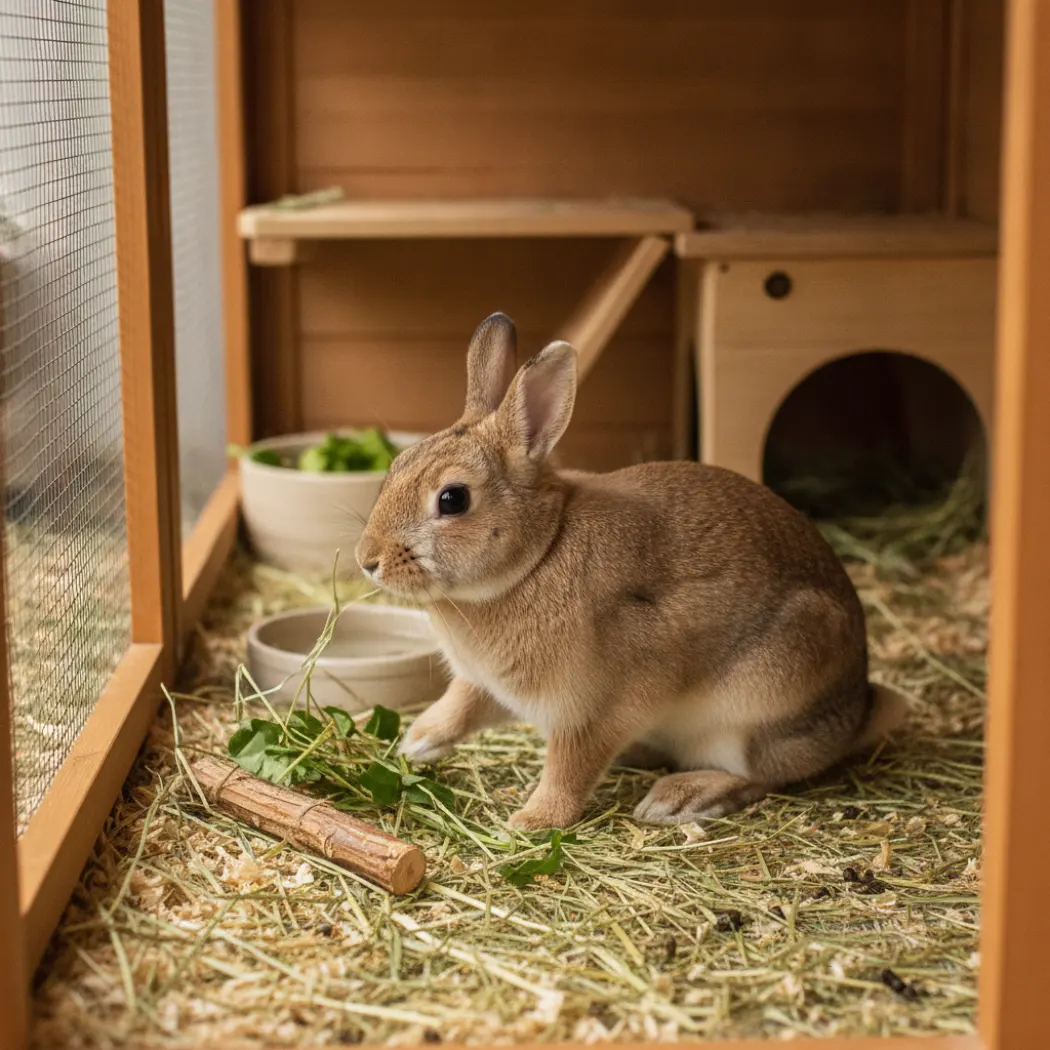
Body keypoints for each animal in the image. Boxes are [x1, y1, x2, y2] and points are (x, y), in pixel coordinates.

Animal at [355, 313, 906, 830]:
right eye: (397, 464)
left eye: (453, 499)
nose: (368, 560)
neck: (539, 555)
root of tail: (853, 714)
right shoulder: (485, 685)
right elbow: (461, 705)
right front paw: (417, 742)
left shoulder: (596, 711)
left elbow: (570, 766)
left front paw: (534, 820)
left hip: (763, 700)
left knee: (760, 775)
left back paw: (679, 797)